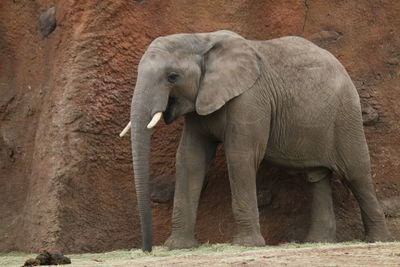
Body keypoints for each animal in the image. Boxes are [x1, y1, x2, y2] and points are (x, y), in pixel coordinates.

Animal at [119, 30, 390, 252]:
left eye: (172, 77)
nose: (146, 249)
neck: (202, 39)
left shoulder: (250, 98)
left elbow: (241, 155)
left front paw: (245, 245)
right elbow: (190, 158)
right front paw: (178, 247)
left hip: (345, 115)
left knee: (356, 173)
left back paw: (378, 240)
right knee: (317, 176)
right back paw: (317, 242)